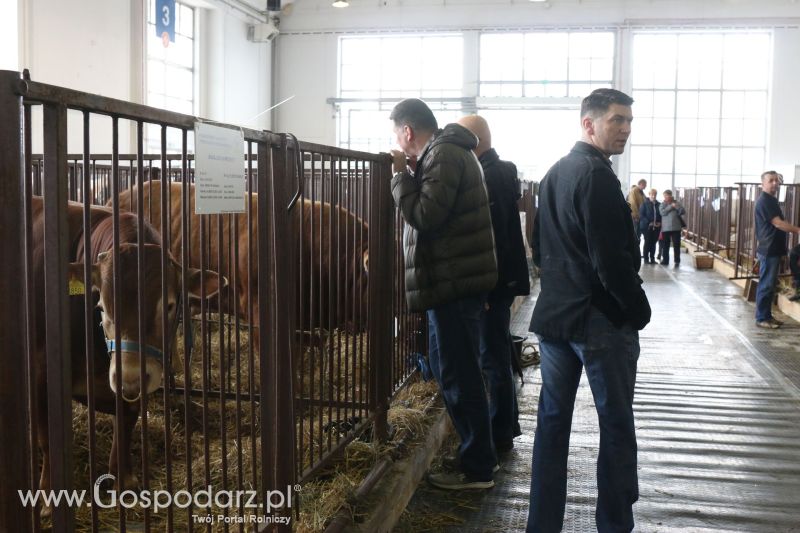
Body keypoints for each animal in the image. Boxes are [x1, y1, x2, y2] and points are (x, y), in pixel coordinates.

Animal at [31, 194, 222, 512]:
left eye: (169, 305)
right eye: (101, 305)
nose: (130, 374)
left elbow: (126, 426)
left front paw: (125, 480)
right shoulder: (42, 374)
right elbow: (48, 440)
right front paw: (47, 498)